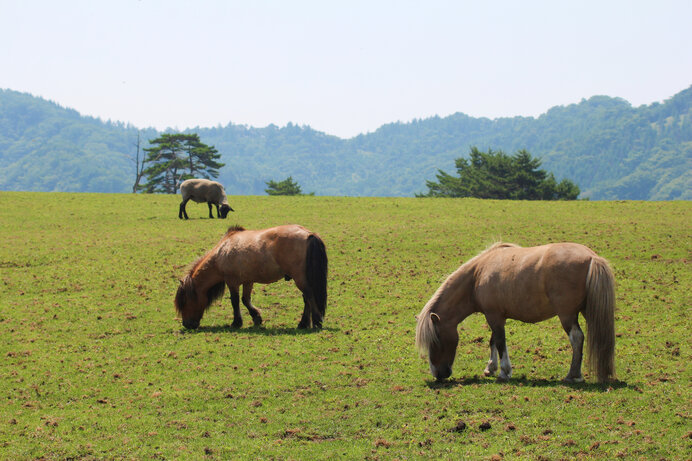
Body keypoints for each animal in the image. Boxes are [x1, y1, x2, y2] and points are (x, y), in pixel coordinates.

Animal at [176, 224, 328, 328]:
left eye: (184, 301)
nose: (186, 324)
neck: (222, 252)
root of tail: (309, 234)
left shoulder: (232, 282)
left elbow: (235, 301)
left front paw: (236, 322)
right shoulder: (248, 281)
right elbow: (245, 299)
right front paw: (257, 318)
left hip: (299, 278)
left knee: (309, 296)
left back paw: (316, 321)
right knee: (307, 298)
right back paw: (303, 324)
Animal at [416, 243, 616, 382]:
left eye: (436, 339)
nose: (438, 373)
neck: (478, 274)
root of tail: (592, 257)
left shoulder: (494, 316)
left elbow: (499, 342)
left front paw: (504, 372)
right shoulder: (496, 316)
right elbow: (493, 341)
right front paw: (490, 368)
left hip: (567, 315)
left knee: (577, 338)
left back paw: (573, 375)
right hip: (587, 312)